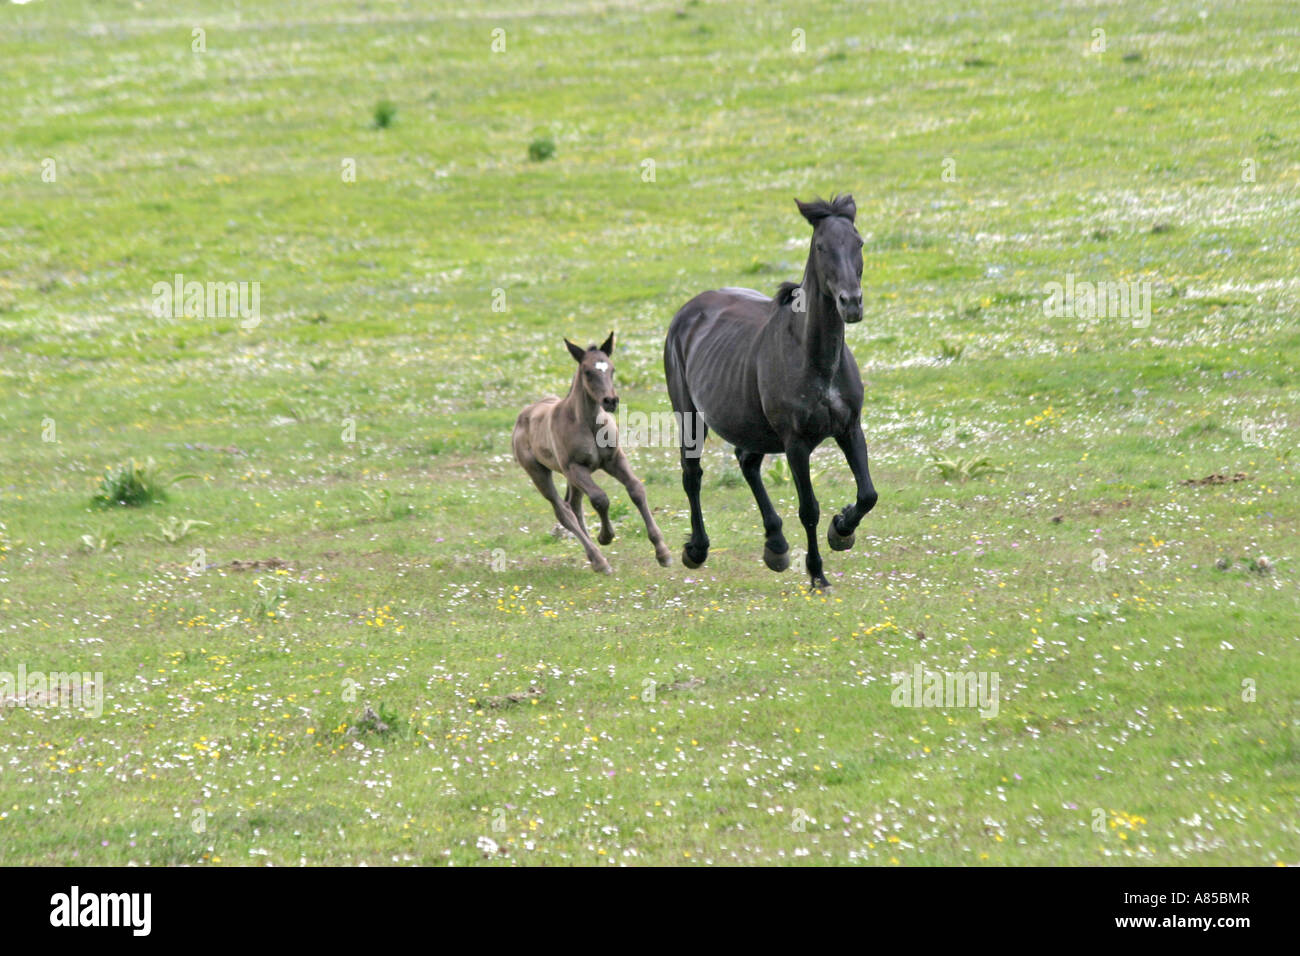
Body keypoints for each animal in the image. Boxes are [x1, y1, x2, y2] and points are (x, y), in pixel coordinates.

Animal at [509, 332, 670, 572]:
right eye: (587, 371)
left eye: (612, 369)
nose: (610, 401)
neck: (590, 424)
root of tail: (523, 416)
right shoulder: (576, 467)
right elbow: (600, 499)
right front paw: (606, 536)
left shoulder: (615, 459)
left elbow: (636, 490)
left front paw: (662, 552)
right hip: (540, 472)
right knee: (564, 511)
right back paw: (599, 560)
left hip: (571, 478)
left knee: (574, 506)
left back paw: (593, 558)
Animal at [665, 196, 878, 590]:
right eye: (821, 246)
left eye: (858, 243)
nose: (851, 303)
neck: (817, 359)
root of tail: (688, 311)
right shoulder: (795, 443)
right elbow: (809, 509)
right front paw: (818, 575)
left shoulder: (850, 428)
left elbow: (868, 494)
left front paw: (841, 531)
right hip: (689, 416)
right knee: (692, 475)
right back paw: (697, 550)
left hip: (751, 423)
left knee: (747, 462)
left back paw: (775, 546)